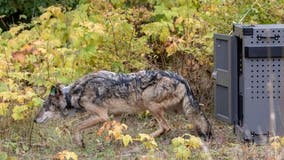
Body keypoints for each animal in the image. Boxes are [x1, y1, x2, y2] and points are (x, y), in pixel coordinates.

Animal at [33, 70, 211, 148]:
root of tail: (182, 79)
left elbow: (76, 127)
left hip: (149, 103)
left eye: (44, 107)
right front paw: (111, 142)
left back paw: (143, 138)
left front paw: (80, 142)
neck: (76, 93)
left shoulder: (102, 116)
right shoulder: (116, 115)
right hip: (182, 109)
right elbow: (114, 131)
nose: (34, 120)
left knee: (166, 127)